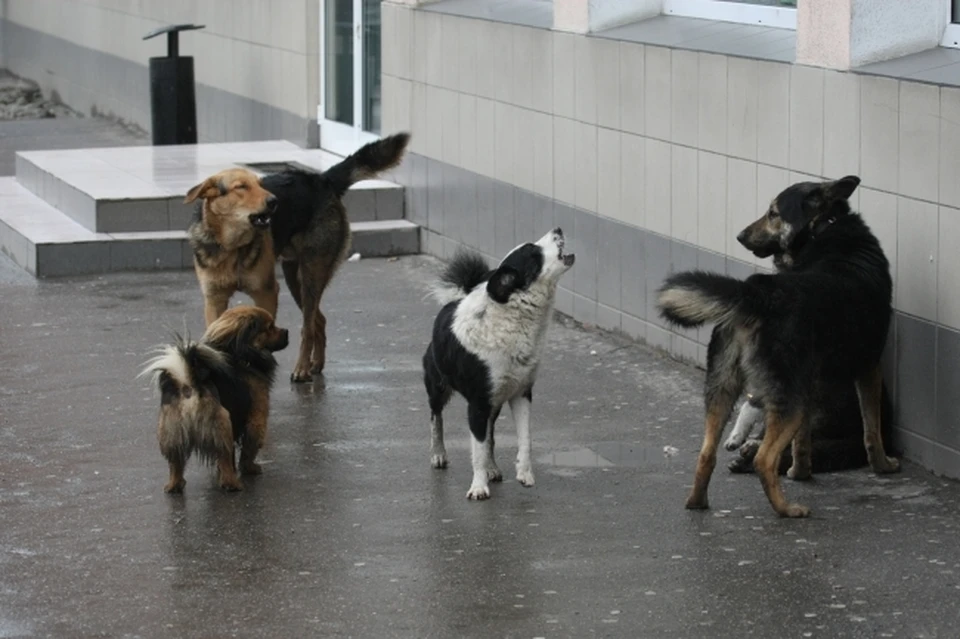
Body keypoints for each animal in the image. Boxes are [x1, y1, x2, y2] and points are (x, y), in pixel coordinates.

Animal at [141, 304, 286, 496]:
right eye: (270, 327)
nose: (286, 331)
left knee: (176, 462)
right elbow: (249, 448)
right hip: (221, 425)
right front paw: (249, 468)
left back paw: (175, 485)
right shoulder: (257, 417)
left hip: (173, 432)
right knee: (224, 454)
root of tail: (188, 383)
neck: (238, 353)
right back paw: (232, 484)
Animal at [186, 131, 410, 380]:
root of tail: (322, 179)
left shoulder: (266, 292)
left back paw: (302, 368)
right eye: (241, 187)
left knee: (308, 326)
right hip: (294, 278)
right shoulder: (214, 299)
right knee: (318, 321)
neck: (232, 246)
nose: (274, 201)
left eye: (260, 184)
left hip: (311, 274)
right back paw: (316, 364)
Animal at [422, 229, 572, 500]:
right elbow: (478, 450)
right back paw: (438, 453)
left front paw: (524, 473)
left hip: (495, 402)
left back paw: (493, 468)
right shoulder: (478, 403)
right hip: (438, 386)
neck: (511, 318)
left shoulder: (521, 394)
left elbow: (523, 439)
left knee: (490, 435)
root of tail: (453, 301)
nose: (558, 229)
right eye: (533, 252)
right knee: (435, 417)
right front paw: (478, 487)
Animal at [660, 176, 900, 520]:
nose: (740, 236)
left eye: (773, 212)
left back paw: (697, 501)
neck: (824, 227)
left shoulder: (812, 382)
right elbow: (872, 429)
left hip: (724, 387)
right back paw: (786, 508)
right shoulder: (868, 366)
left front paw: (800, 472)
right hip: (790, 399)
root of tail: (757, 295)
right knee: (764, 459)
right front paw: (883, 465)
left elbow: (802, 442)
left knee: (706, 453)